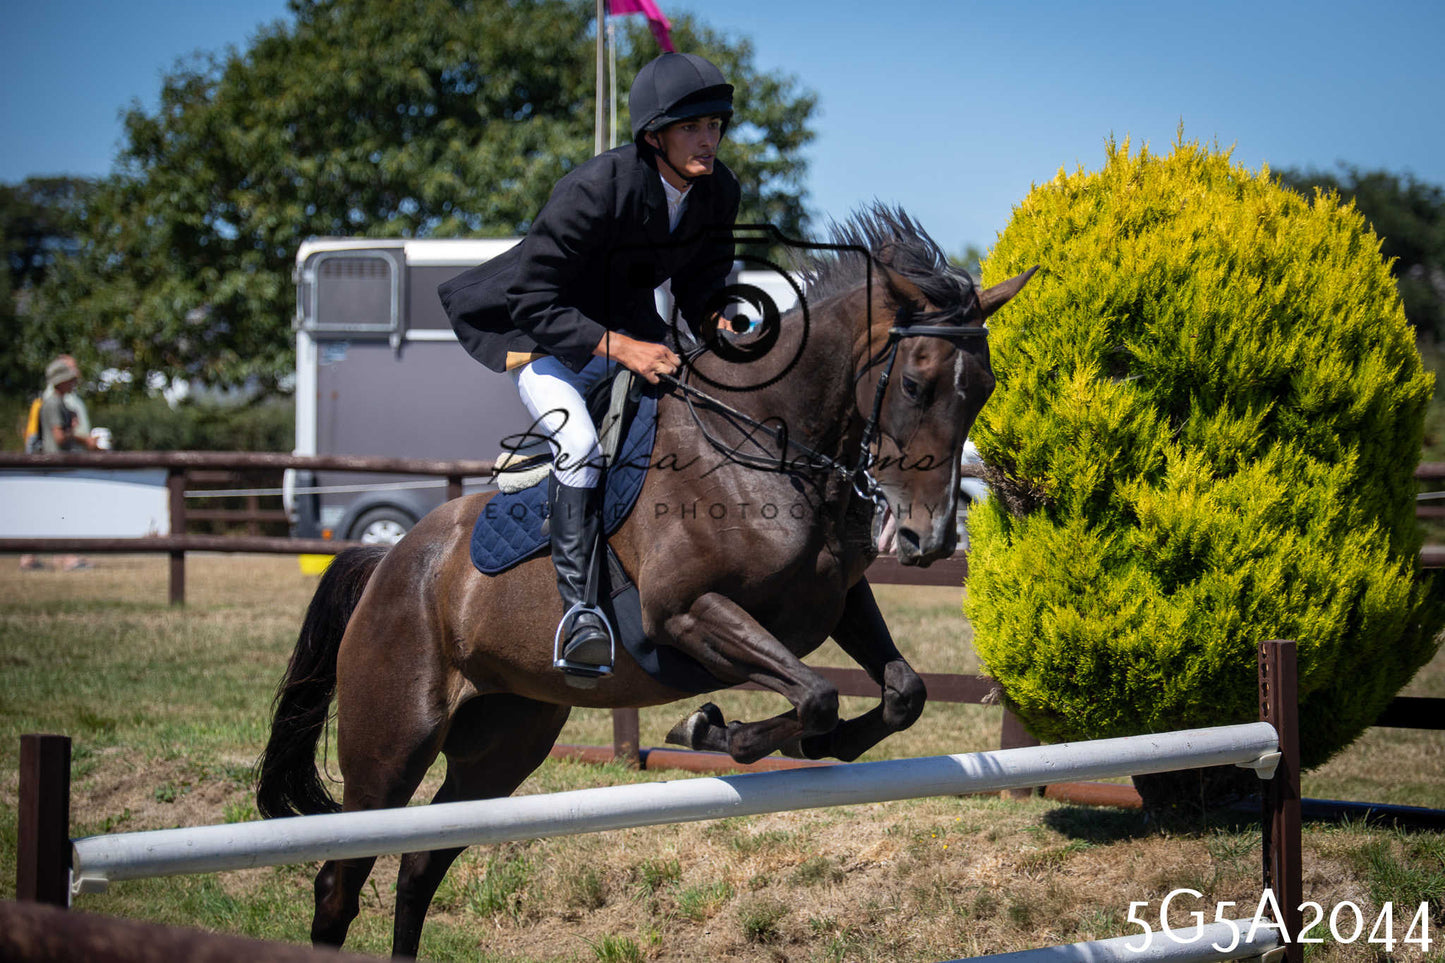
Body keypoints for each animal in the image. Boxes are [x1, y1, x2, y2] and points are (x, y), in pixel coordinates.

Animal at [256, 206, 1035, 956]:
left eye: (986, 389)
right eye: (915, 383)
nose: (930, 540)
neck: (767, 448)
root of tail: (387, 564)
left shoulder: (836, 601)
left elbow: (900, 692)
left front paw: (788, 741)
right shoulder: (685, 613)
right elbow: (815, 694)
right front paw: (710, 726)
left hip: (503, 742)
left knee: (419, 864)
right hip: (392, 745)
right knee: (339, 881)